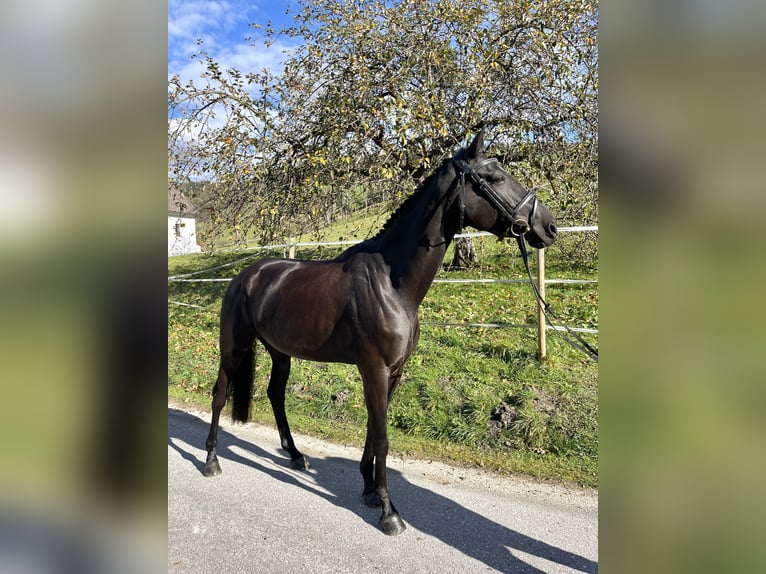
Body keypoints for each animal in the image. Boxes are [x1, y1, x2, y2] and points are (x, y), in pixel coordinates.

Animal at [204, 130, 560, 536]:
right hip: (233, 348)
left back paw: (295, 456)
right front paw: (390, 513)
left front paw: (370, 491)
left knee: (275, 395)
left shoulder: (394, 372)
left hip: (281, 352)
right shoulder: (373, 369)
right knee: (219, 395)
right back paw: (211, 461)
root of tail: (246, 275)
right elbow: (383, 437)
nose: (549, 227)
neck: (392, 284)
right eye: (496, 178)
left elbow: (374, 432)